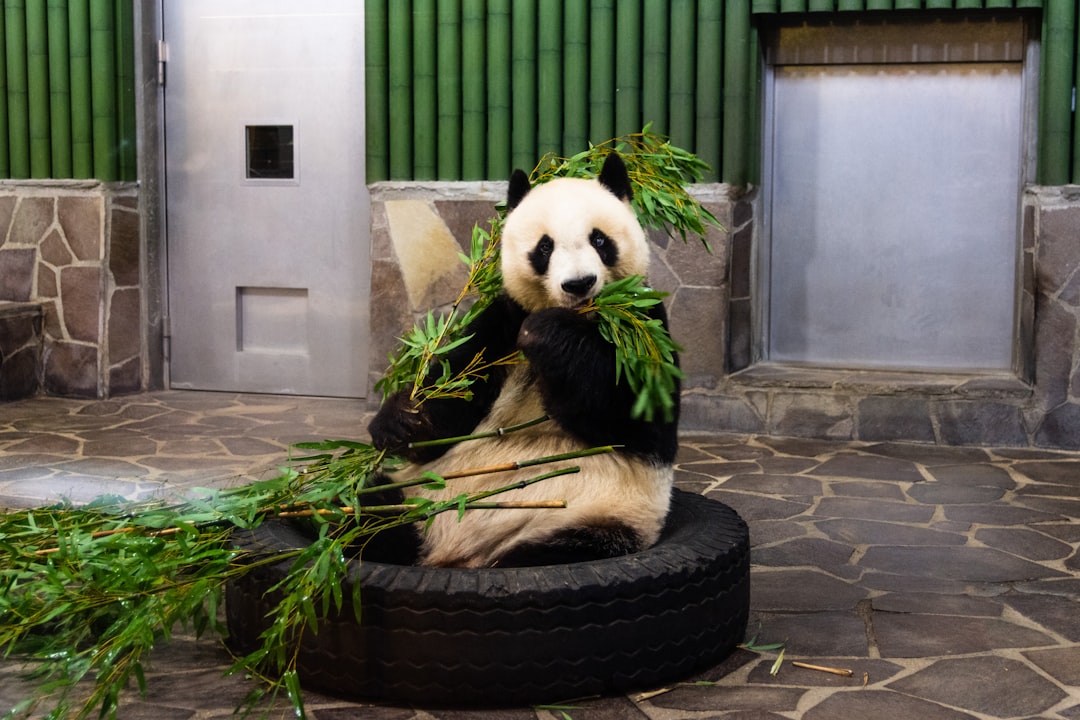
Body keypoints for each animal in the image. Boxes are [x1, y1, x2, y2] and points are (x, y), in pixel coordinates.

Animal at [367, 153, 678, 569]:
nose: (579, 284)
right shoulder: (499, 326)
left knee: (551, 557)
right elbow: (453, 404)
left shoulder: (643, 326)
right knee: (359, 512)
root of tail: (453, 556)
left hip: (594, 522)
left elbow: (638, 421)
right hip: (418, 495)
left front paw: (549, 335)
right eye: (544, 248)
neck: (584, 317)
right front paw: (403, 420)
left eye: (599, 239)